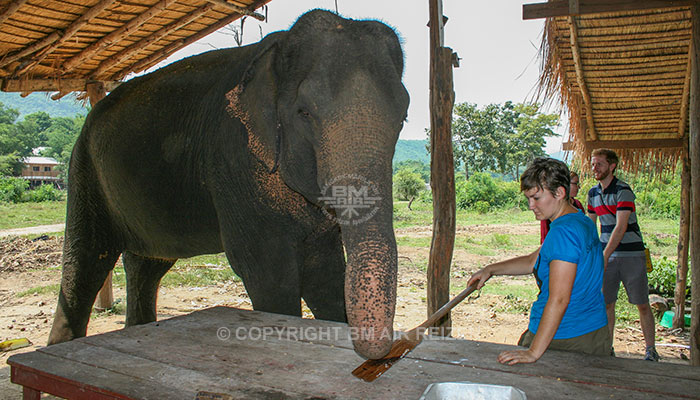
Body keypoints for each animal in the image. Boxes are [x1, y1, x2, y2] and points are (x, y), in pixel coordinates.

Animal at [49, 9, 408, 360]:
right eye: (304, 112)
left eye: (403, 117)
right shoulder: (234, 160)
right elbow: (270, 277)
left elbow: (327, 276)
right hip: (84, 170)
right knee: (84, 264)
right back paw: (59, 345)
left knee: (147, 264)